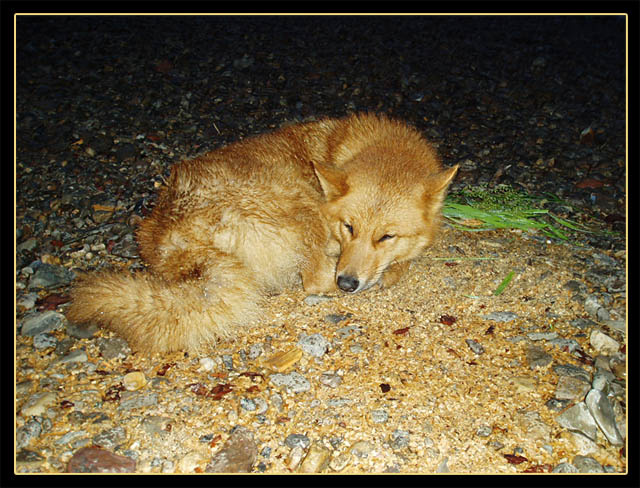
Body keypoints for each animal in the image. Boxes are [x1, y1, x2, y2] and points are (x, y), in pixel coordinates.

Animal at [66, 113, 458, 355]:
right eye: (349, 227)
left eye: (386, 237)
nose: (347, 283)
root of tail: (174, 240)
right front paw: (390, 271)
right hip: (302, 207)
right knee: (314, 282)